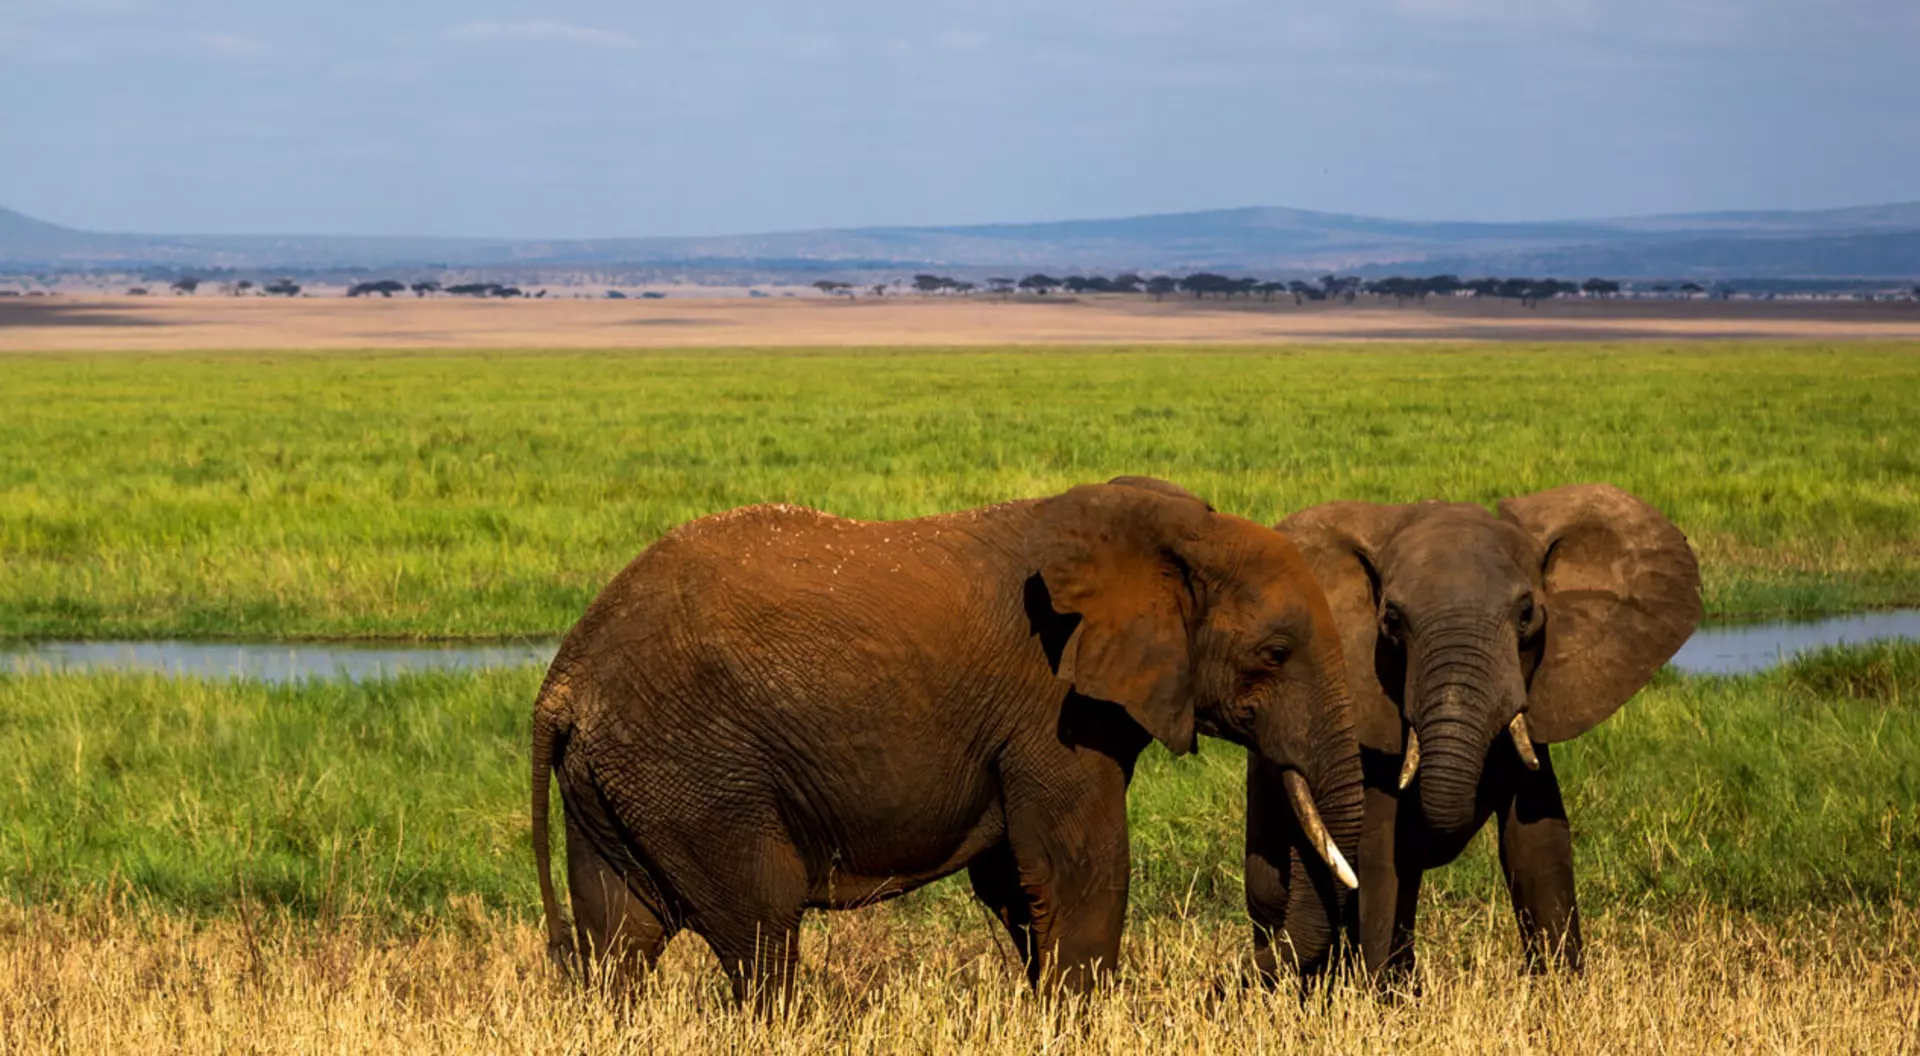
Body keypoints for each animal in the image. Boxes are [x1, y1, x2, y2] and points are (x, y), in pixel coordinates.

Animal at [530, 478, 1364, 1005]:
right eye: (1275, 655)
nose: (1246, 986)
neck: (1178, 530)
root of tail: (562, 680)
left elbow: (1017, 880)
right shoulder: (1048, 704)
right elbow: (1078, 869)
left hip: (618, 777)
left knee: (618, 937)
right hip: (694, 770)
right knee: (761, 931)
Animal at [1255, 483, 1700, 985]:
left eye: (1527, 614)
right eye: (1392, 621)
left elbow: (1538, 840)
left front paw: (1561, 991)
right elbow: (1379, 851)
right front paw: (1379, 999)